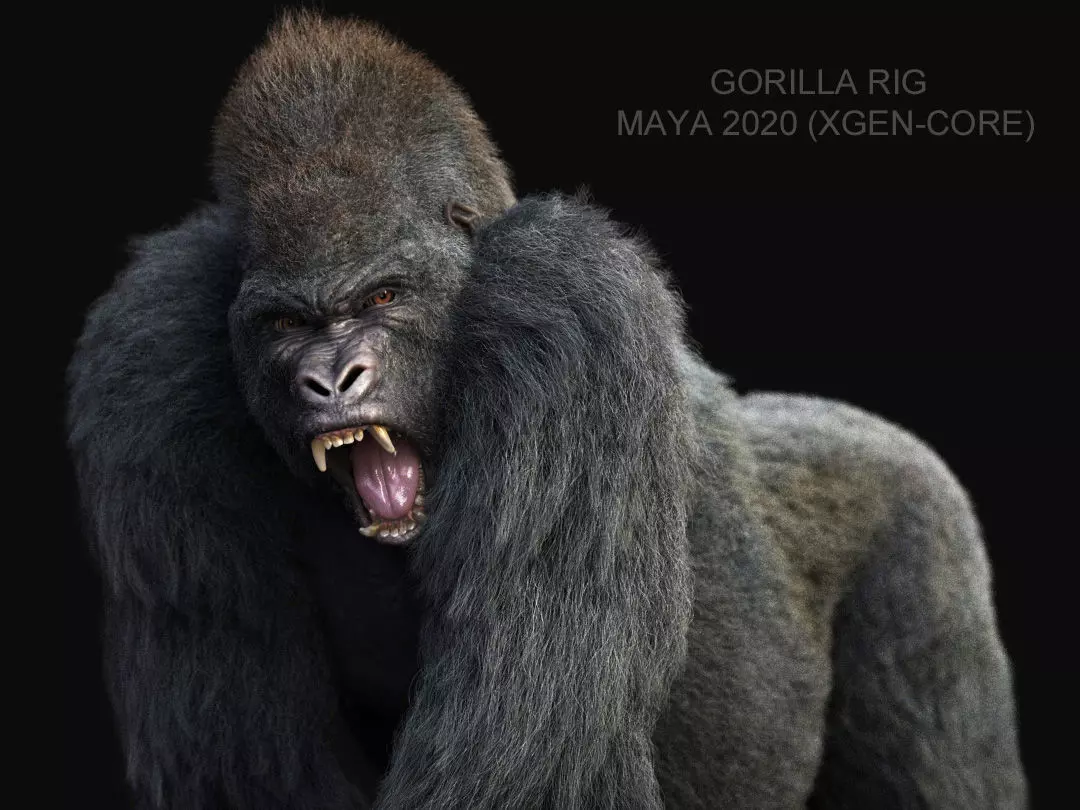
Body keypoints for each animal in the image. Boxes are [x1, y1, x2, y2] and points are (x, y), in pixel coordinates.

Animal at [67, 12, 1027, 809]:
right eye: (284, 325)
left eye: (382, 296)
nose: (332, 381)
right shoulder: (148, 349)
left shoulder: (570, 305)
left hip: (926, 525)